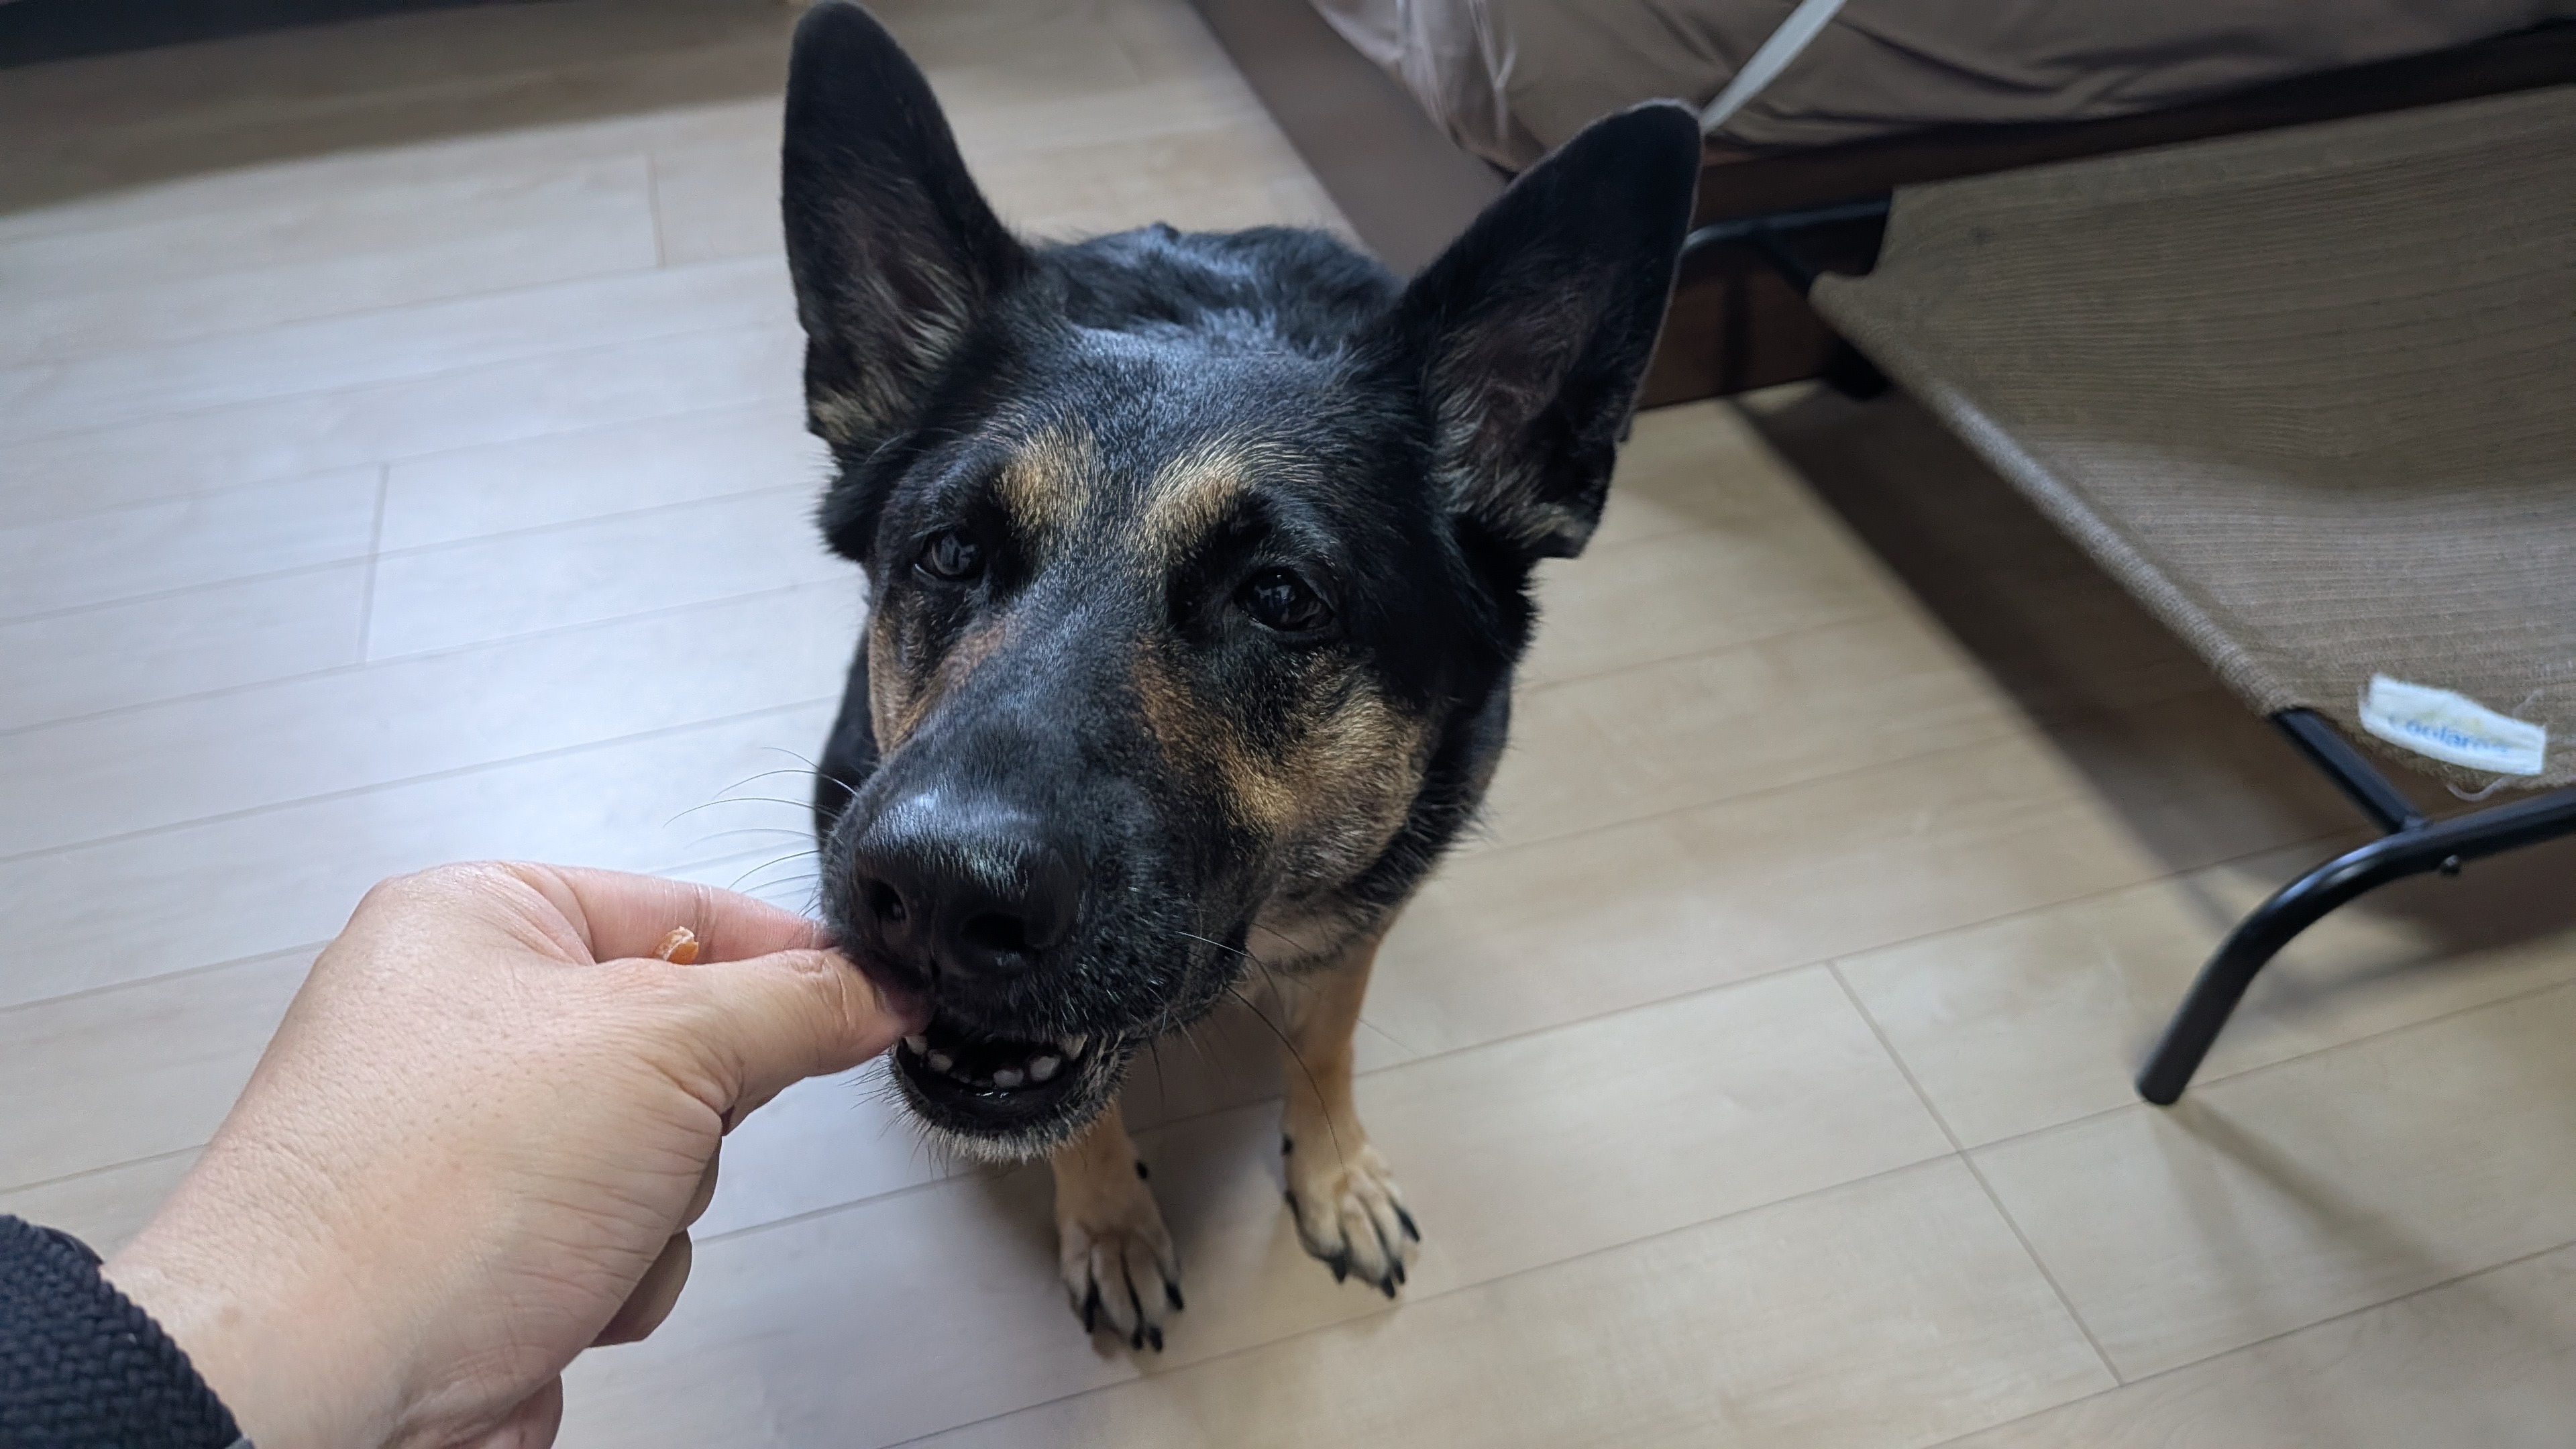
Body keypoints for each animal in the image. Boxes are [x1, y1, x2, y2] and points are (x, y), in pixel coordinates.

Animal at [789, 1, 1698, 1350]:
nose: (942, 895)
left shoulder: (1369, 901)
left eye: (1278, 599)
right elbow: (1087, 1121)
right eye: (950, 552)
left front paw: (1332, 1171)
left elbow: (1331, 1037)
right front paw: (1110, 1221)